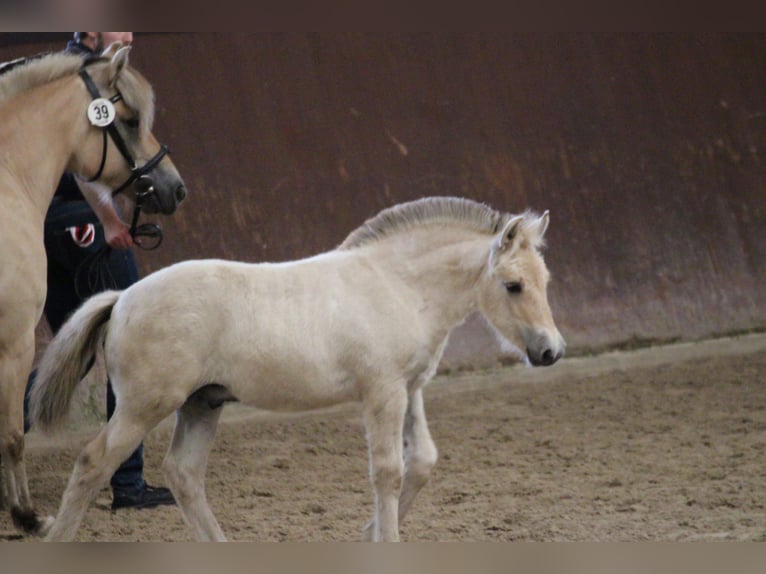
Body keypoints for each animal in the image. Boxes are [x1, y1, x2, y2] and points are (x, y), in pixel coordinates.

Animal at [33, 196, 568, 544]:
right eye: (514, 285)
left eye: (545, 279)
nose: (551, 351)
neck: (396, 285)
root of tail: (122, 297)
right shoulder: (383, 393)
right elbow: (388, 472)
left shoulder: (409, 389)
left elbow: (422, 462)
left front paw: (367, 533)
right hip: (145, 406)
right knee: (92, 463)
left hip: (203, 403)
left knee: (184, 474)